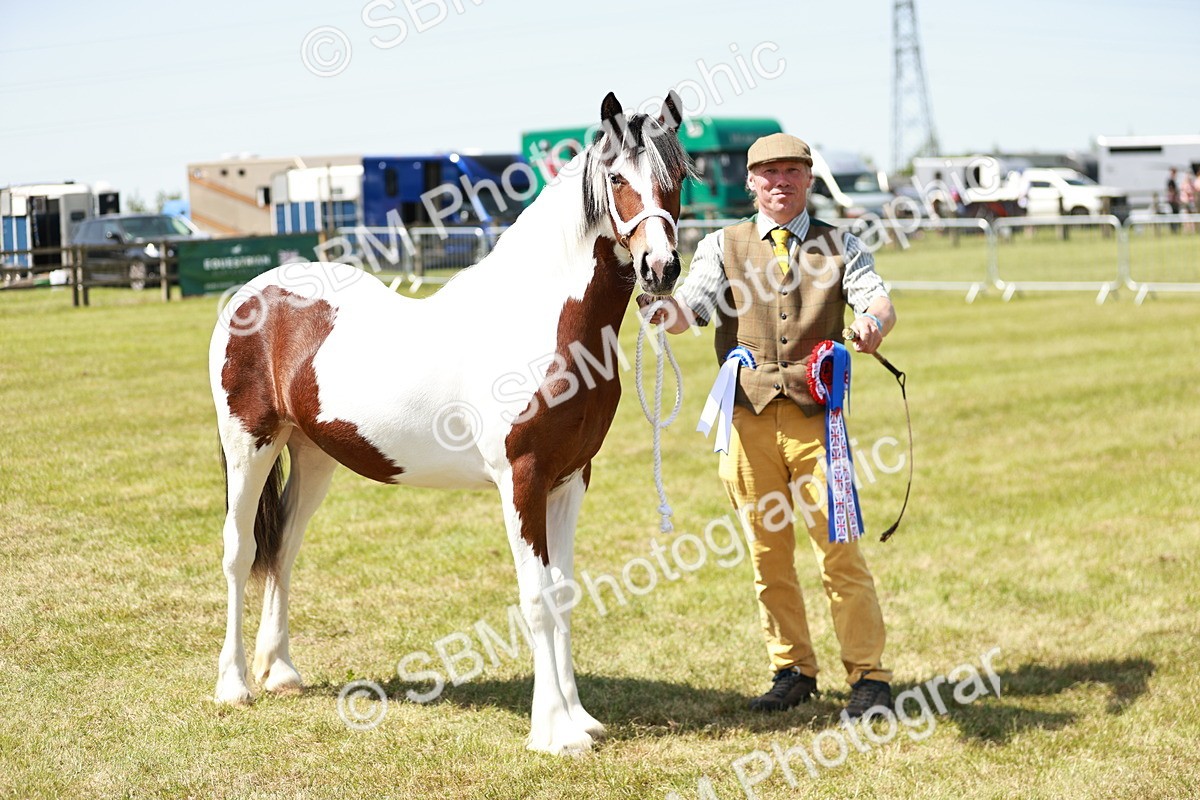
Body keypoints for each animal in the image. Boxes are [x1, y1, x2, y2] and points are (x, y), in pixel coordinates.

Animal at [209, 90, 691, 754]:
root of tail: (251, 295)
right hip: (248, 445)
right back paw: (233, 685)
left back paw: (280, 672)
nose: (660, 268)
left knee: (283, 546)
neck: (539, 320)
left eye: (677, 179)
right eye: (617, 178)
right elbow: (537, 598)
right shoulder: (522, 480)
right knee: (241, 551)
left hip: (311, 453)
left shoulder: (570, 480)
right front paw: (553, 732)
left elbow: (565, 593)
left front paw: (581, 719)